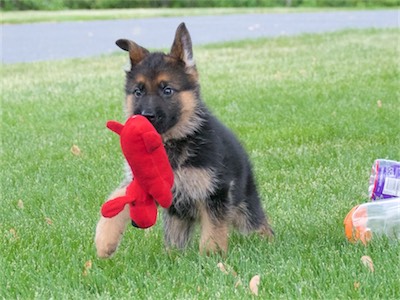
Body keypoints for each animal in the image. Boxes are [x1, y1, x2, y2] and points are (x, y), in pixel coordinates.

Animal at [95, 23, 274, 258]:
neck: (171, 143)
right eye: (138, 92)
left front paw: (212, 258)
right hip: (178, 218)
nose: (146, 116)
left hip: (242, 206)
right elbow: (116, 198)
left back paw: (268, 242)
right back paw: (172, 257)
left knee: (258, 224)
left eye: (167, 90)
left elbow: (213, 232)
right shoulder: (145, 184)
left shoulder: (215, 193)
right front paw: (104, 241)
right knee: (175, 241)